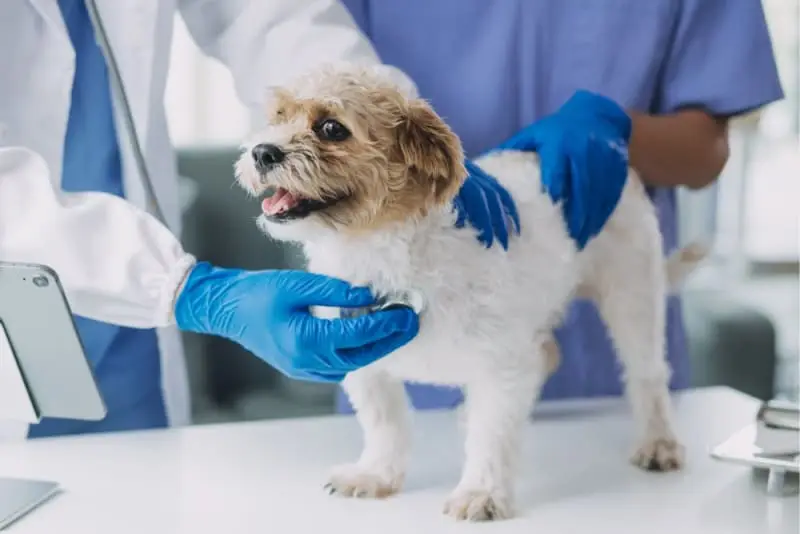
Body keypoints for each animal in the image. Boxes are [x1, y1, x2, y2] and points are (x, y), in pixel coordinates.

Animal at [235, 64, 706, 521]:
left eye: (332, 128)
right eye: (278, 117)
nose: (262, 152)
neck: (385, 251)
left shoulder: (502, 365)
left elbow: (492, 434)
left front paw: (482, 492)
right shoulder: (358, 359)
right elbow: (385, 424)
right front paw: (376, 474)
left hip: (632, 296)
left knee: (647, 373)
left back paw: (659, 441)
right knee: (548, 355)